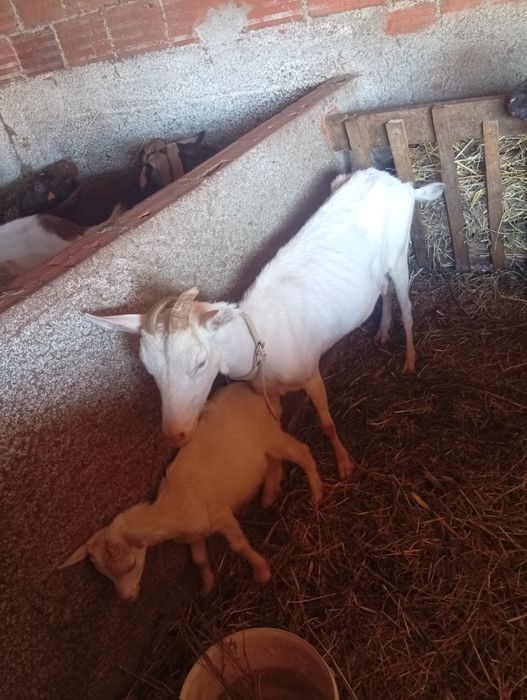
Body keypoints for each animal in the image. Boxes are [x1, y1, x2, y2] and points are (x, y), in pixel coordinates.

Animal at [58, 382, 323, 601]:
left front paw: (262, 572)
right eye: (104, 575)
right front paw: (206, 587)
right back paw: (269, 495)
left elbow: (238, 545)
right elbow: (199, 559)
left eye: (131, 565)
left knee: (302, 452)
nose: (127, 598)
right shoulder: (193, 534)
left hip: (270, 433)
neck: (173, 506)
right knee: (272, 462)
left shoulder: (221, 515)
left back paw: (317, 494)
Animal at [87, 168, 444, 479]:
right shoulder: (268, 393)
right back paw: (382, 331)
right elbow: (278, 428)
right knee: (383, 289)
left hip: (399, 254)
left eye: (200, 362)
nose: (176, 435)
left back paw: (409, 360)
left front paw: (344, 464)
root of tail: (397, 183)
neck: (259, 340)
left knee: (407, 306)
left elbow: (327, 423)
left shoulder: (310, 373)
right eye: (149, 370)